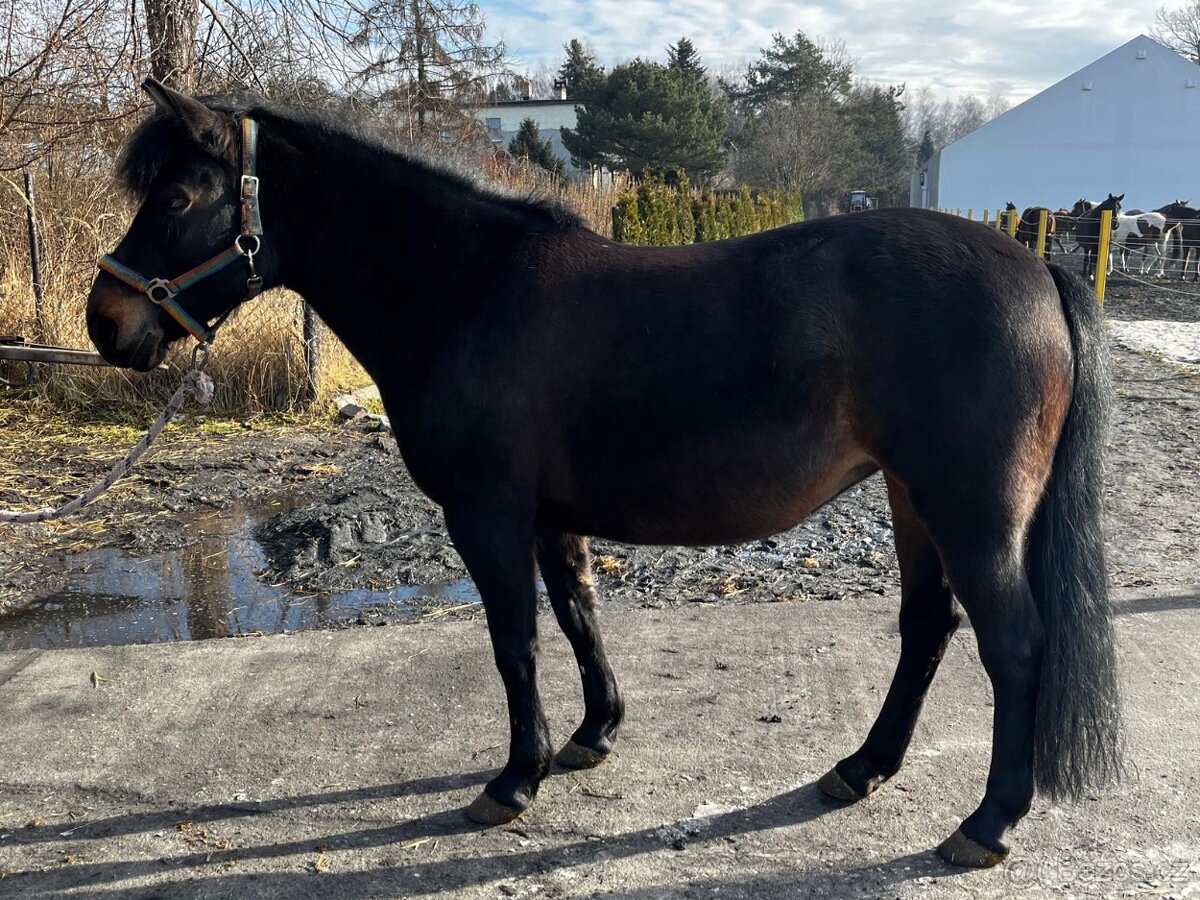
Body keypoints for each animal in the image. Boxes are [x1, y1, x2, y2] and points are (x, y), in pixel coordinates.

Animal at [85, 80, 1121, 869]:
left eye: (175, 200)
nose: (106, 322)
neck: (466, 291)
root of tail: (1035, 269)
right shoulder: (550, 517)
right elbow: (579, 615)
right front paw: (594, 736)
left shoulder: (487, 516)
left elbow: (516, 644)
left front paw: (515, 780)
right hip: (914, 500)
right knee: (925, 629)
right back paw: (860, 770)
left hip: (972, 511)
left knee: (1013, 646)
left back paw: (986, 823)